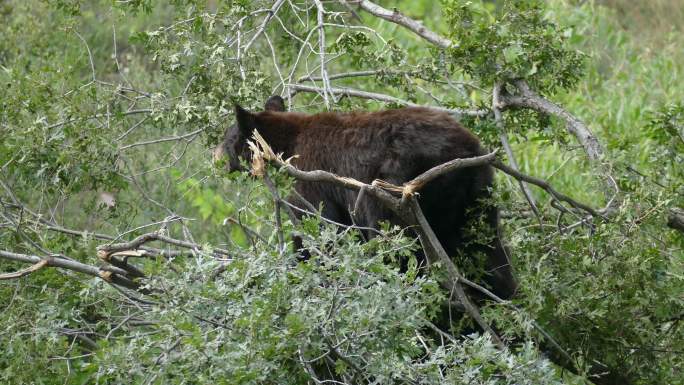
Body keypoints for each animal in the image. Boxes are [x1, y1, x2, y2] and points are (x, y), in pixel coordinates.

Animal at [216, 95, 516, 300]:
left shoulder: (310, 182)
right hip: (479, 195)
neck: (287, 144)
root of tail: (461, 153)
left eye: (226, 138)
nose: (215, 156)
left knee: (397, 246)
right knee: (490, 255)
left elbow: (320, 229)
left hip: (394, 190)